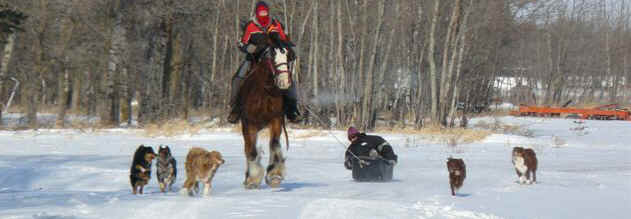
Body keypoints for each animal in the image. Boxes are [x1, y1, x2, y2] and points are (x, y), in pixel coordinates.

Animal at [238, 35, 296, 188]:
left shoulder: (276, 120)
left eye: (288, 56)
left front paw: (274, 174)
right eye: (273, 56)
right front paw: (253, 178)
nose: (284, 82)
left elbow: (274, 144)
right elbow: (252, 151)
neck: (264, 91)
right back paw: (248, 178)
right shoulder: (249, 124)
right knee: (248, 149)